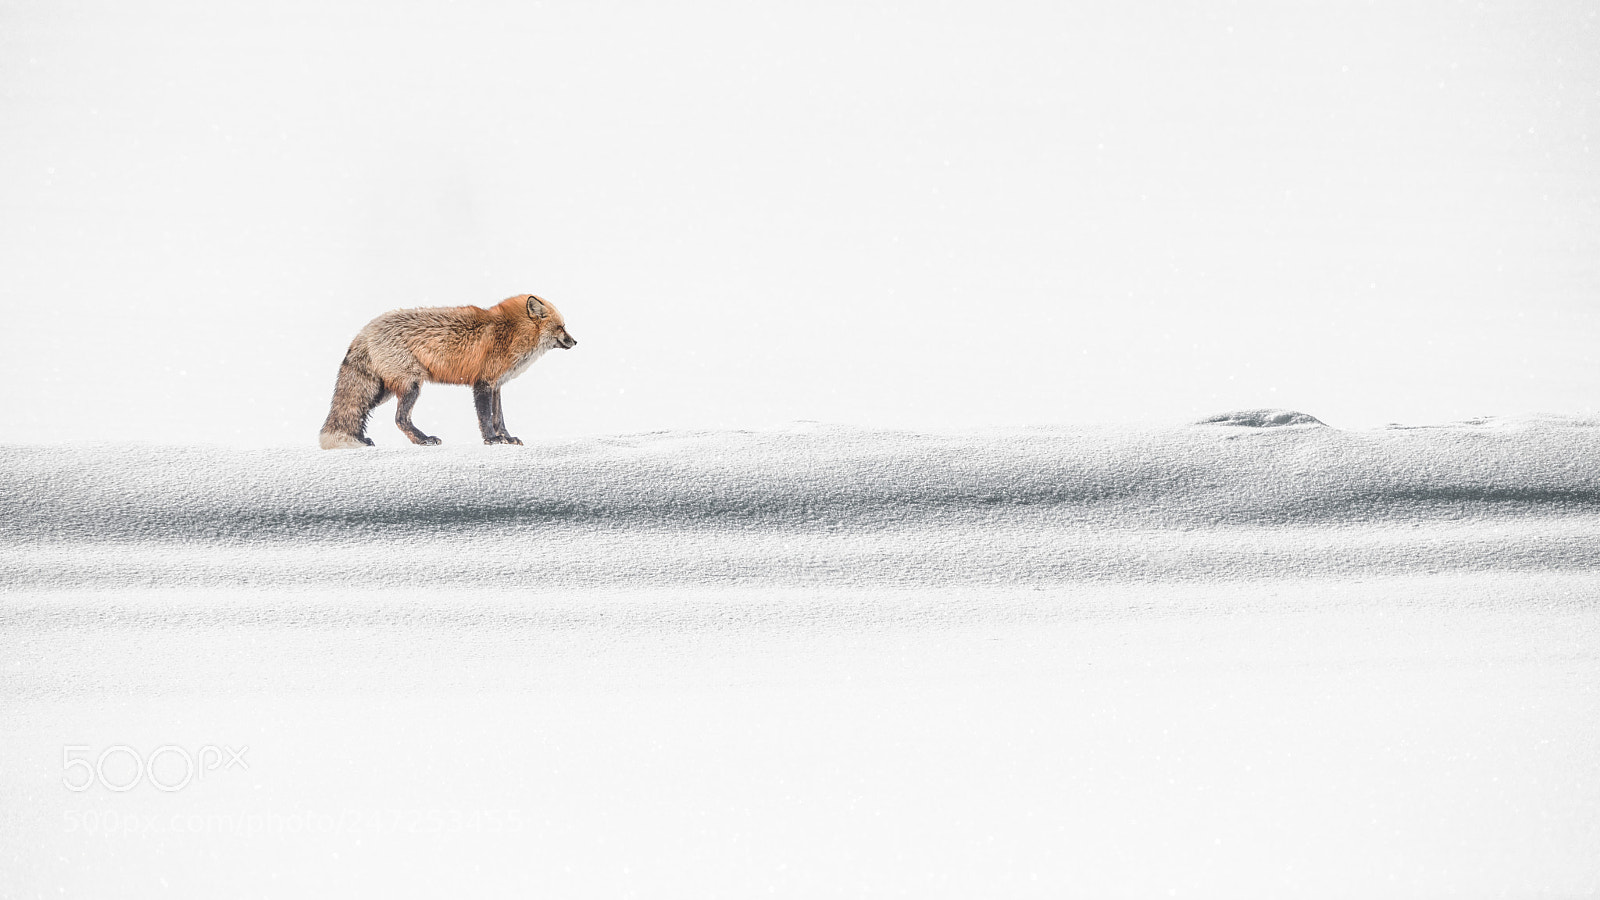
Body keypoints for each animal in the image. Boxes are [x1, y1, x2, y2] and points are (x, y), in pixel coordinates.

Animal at [319, 293, 577, 449]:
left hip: (383, 392)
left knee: (360, 410)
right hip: (411, 386)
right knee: (400, 419)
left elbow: (500, 418)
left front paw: (506, 437)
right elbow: (486, 418)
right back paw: (423, 440)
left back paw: (362, 439)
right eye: (562, 327)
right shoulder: (483, 383)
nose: (575, 341)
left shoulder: (496, 385)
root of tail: (364, 330)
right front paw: (492, 440)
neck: (510, 332)